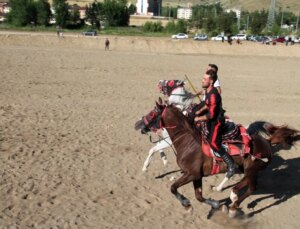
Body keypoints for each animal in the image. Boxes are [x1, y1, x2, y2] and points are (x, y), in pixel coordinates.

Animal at [135, 98, 298, 216]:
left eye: (152, 113)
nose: (137, 125)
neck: (188, 142)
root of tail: (267, 142)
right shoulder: (197, 176)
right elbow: (199, 196)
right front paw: (216, 205)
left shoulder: (192, 174)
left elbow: (173, 188)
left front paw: (187, 204)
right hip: (247, 169)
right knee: (245, 182)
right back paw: (230, 195)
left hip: (251, 169)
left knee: (251, 187)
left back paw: (233, 205)